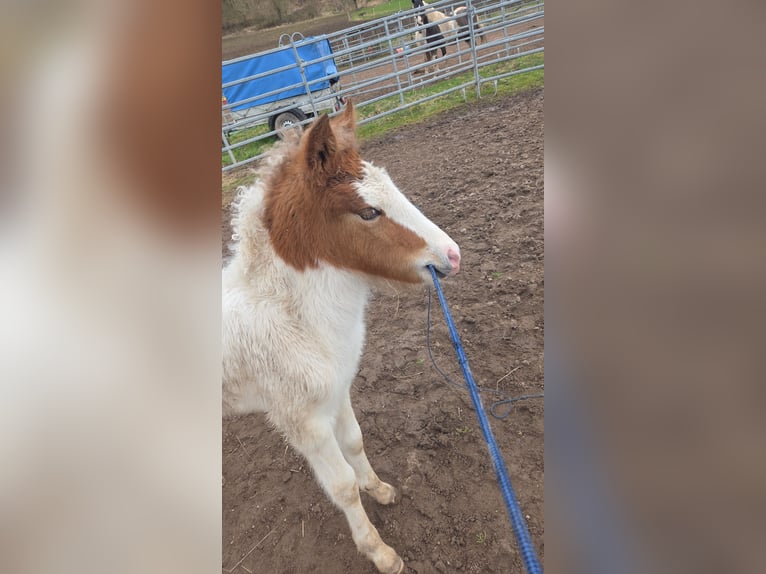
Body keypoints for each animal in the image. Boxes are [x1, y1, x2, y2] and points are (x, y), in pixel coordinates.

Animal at [222, 102, 461, 574]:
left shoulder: (338, 390)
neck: (291, 318)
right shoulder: (302, 421)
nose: (453, 256)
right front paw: (380, 552)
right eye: (368, 212)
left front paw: (381, 489)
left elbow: (355, 441)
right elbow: (342, 487)